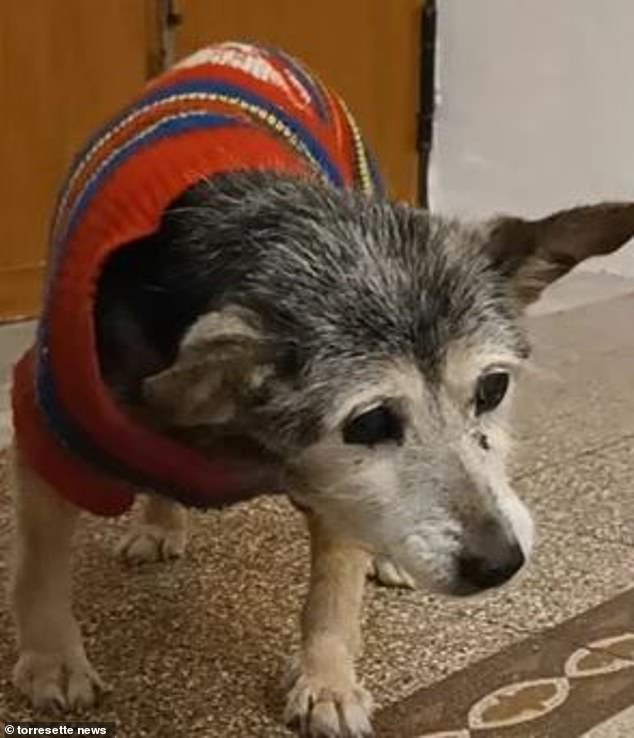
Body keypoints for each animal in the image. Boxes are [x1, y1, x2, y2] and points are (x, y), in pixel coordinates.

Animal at [9, 41, 632, 736]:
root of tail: (243, 46)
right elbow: (39, 563)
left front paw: (327, 683)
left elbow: (333, 591)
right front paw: (52, 662)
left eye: (493, 388)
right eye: (369, 422)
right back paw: (160, 521)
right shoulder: (46, 422)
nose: (502, 563)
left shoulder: (338, 487)